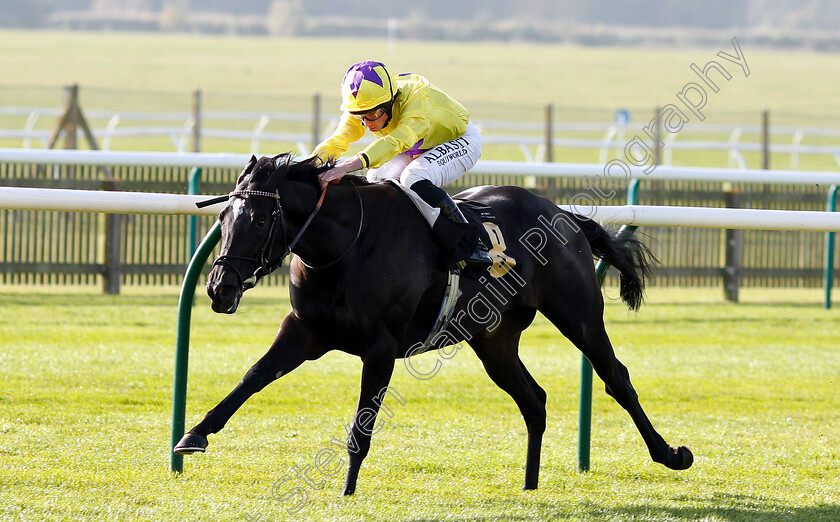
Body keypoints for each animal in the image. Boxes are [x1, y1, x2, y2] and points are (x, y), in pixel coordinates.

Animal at [174, 153, 692, 492]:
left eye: (260, 220)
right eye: (224, 216)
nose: (219, 288)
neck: (345, 245)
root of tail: (561, 212)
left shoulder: (381, 346)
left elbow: (362, 424)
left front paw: (347, 489)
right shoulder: (305, 330)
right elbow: (253, 377)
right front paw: (193, 435)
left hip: (578, 313)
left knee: (616, 378)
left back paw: (669, 454)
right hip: (494, 340)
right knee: (534, 399)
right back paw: (529, 485)